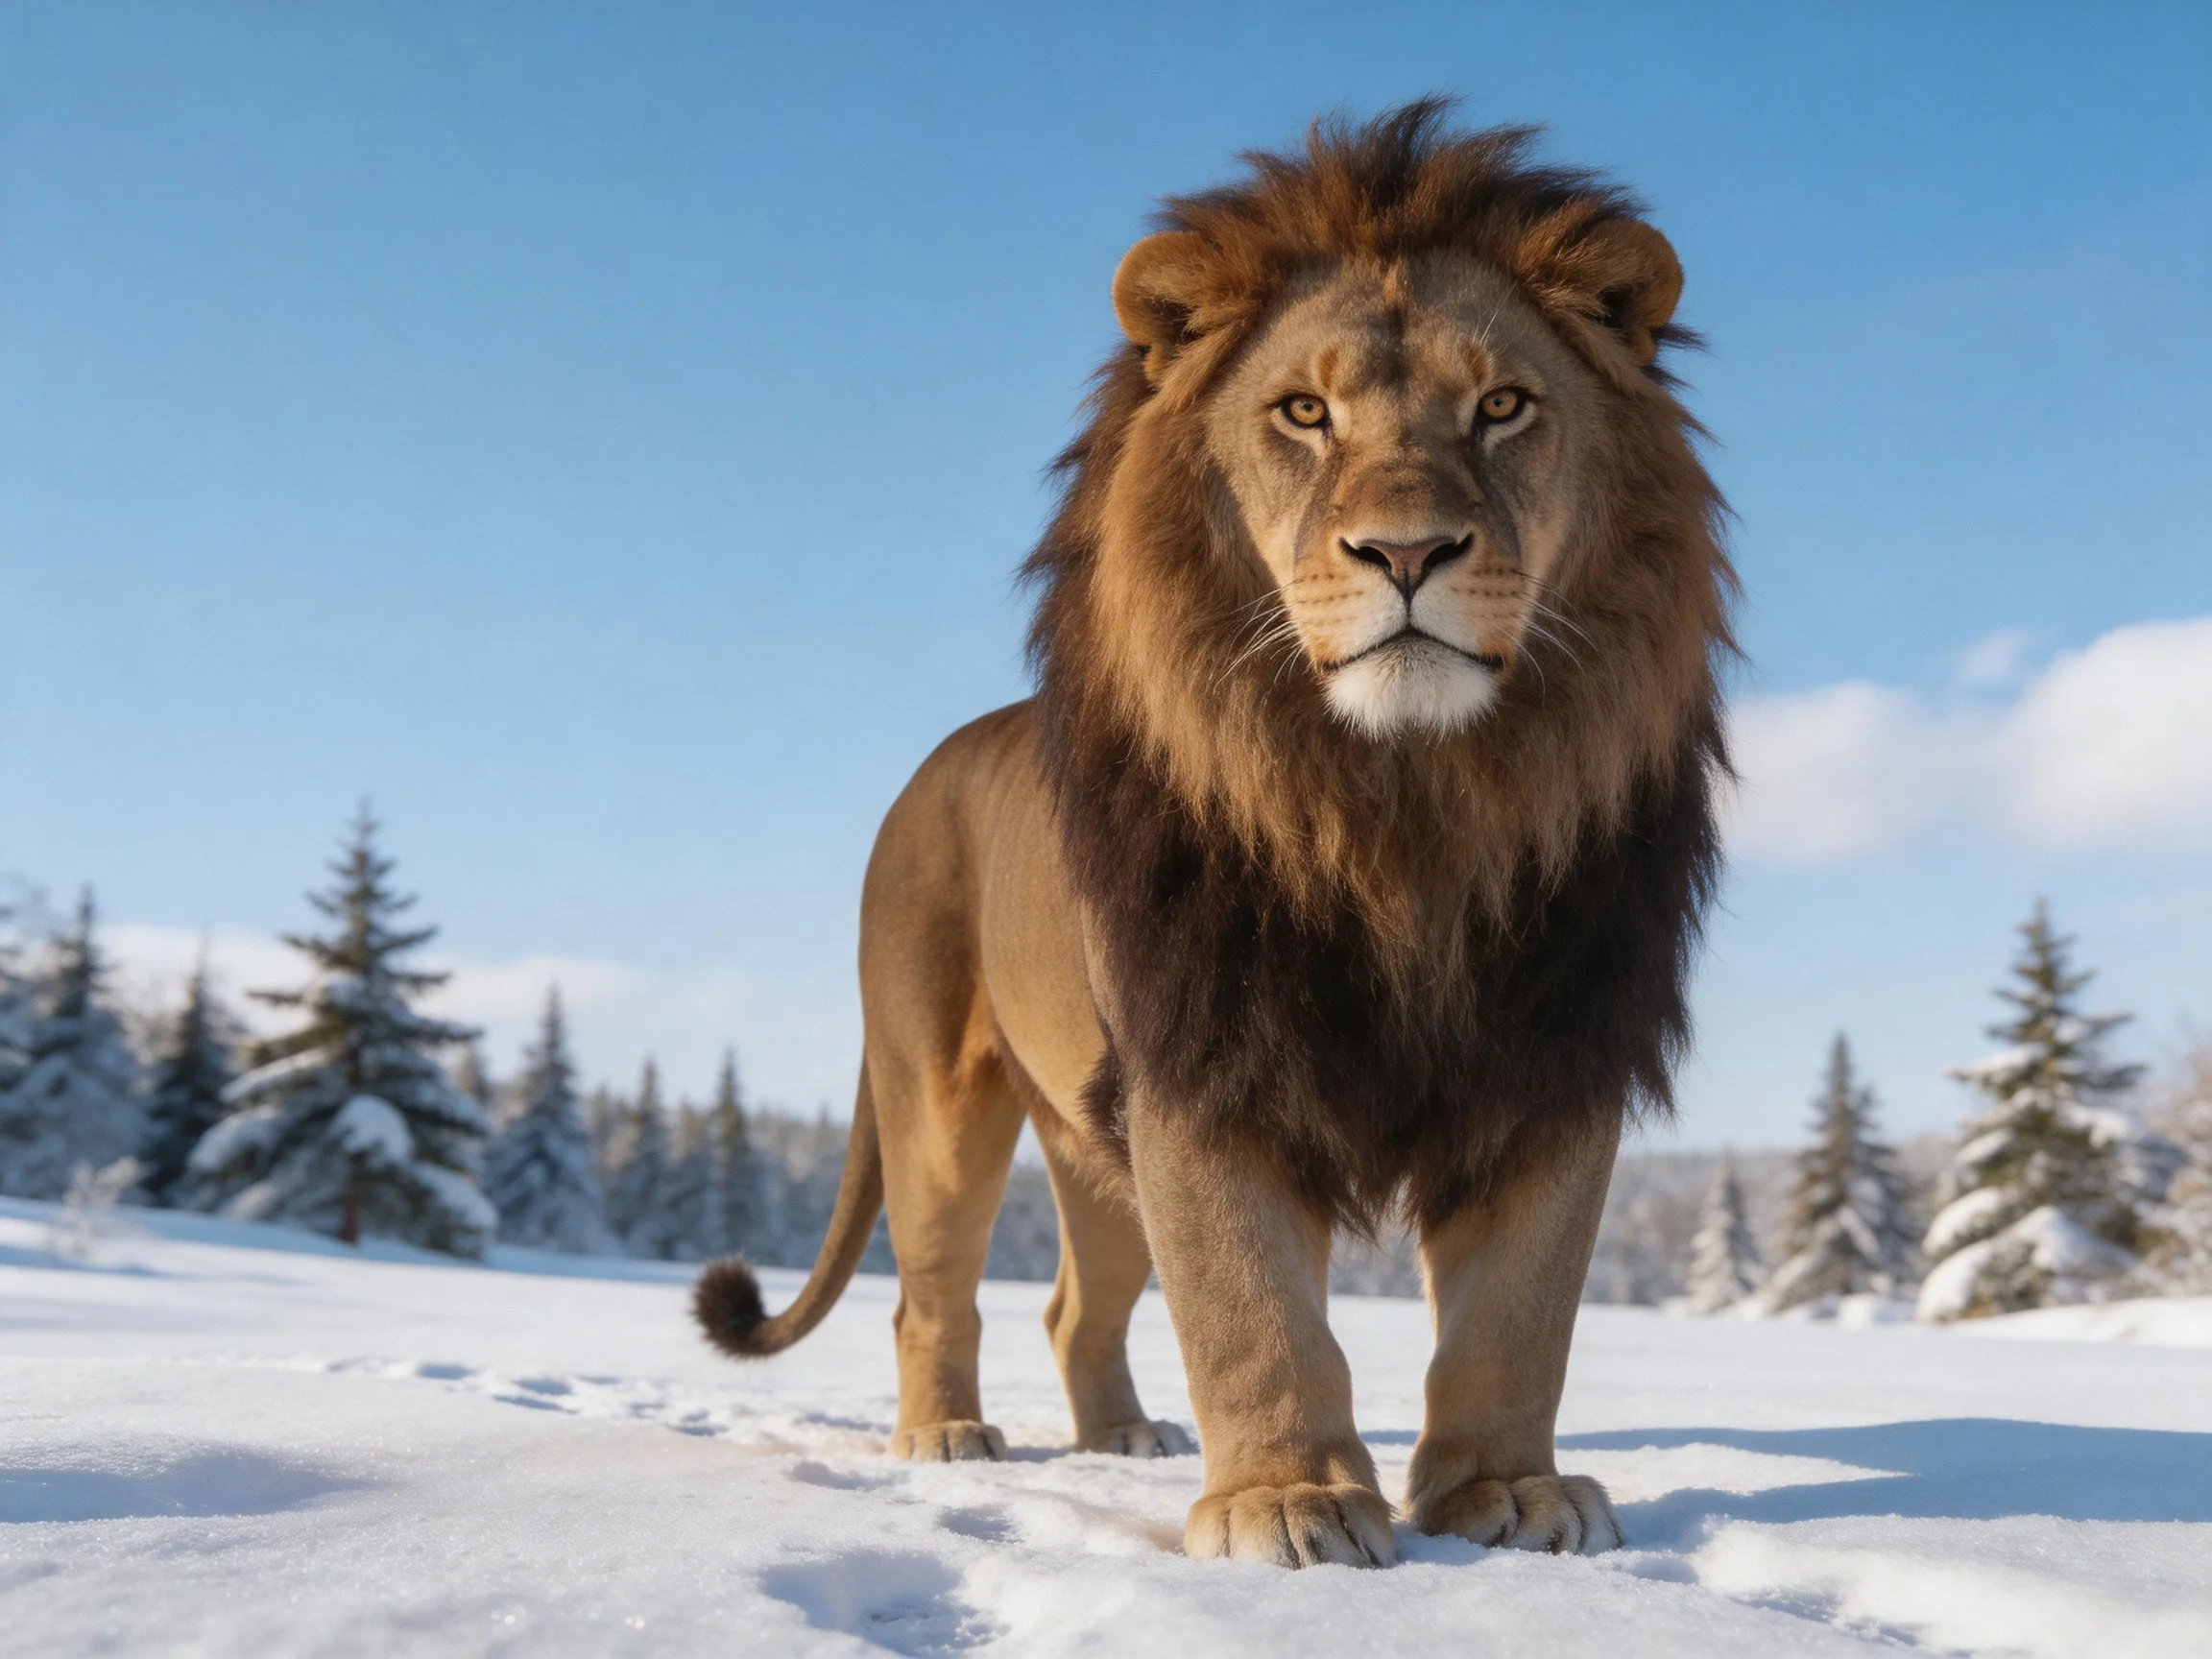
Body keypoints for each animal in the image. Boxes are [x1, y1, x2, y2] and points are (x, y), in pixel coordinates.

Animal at [693, 100, 1733, 1568]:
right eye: (1304, 412)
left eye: (1503, 406)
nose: (1405, 553)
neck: (1403, 803)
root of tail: (932, 765)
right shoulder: (1201, 1062)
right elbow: (1251, 1309)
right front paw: (1288, 1503)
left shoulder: (1555, 1051)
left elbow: (1520, 1317)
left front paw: (1506, 1494)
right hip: (941, 1100)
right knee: (931, 1290)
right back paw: (948, 1439)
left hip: (1091, 1141)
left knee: (1078, 1303)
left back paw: (1121, 1440)